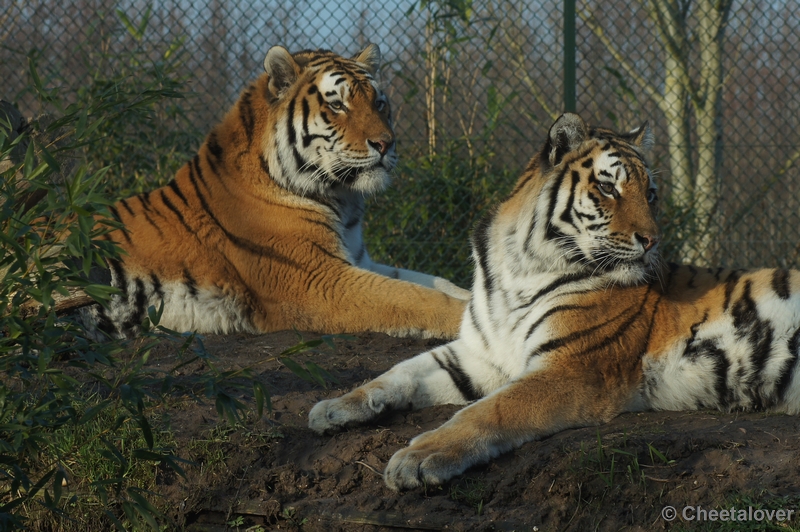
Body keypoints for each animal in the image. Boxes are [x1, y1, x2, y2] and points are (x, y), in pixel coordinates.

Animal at [81, 45, 468, 342]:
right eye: (338, 105)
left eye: (380, 103)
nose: (386, 144)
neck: (342, 200)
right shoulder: (319, 280)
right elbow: (419, 298)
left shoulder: (358, 261)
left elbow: (440, 283)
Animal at [306, 112, 800, 490]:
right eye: (609, 188)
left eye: (651, 194)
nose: (652, 240)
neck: (519, 267)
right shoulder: (480, 354)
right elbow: (397, 373)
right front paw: (334, 408)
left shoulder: (570, 368)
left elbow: (486, 411)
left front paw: (416, 458)